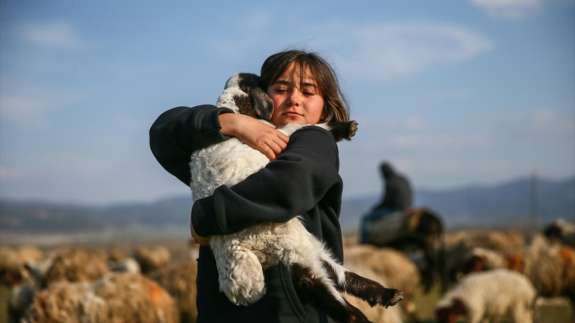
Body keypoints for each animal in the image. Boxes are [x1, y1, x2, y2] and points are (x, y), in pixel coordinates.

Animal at [191, 74, 402, 323]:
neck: (235, 107)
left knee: (339, 275)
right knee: (338, 301)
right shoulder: (275, 134)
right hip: (293, 253)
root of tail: (236, 252)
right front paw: (345, 127)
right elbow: (306, 125)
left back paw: (387, 294)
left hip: (304, 249)